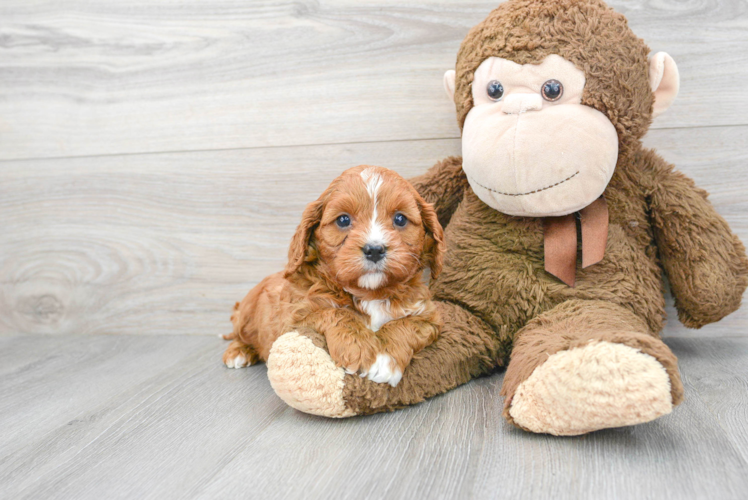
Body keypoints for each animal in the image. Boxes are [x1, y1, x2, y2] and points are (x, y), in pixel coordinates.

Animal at [222, 164, 444, 386]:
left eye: (400, 219)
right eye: (343, 220)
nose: (374, 250)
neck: (369, 293)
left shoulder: (428, 316)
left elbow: (406, 324)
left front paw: (386, 360)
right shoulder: (293, 318)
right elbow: (337, 313)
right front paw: (360, 349)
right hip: (246, 314)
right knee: (240, 335)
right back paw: (238, 352)